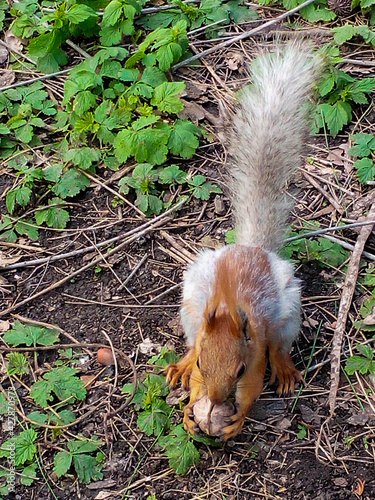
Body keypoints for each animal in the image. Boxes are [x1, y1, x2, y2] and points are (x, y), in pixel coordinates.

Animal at [166, 43, 322, 442]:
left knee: (281, 346)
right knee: (191, 336)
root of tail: (251, 248)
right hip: (190, 303)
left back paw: (284, 369)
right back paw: (181, 363)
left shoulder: (255, 358)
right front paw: (189, 410)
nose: (218, 398)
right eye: (204, 363)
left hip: (288, 313)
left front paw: (237, 418)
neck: (228, 308)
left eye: (238, 370)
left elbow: (252, 391)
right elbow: (195, 381)